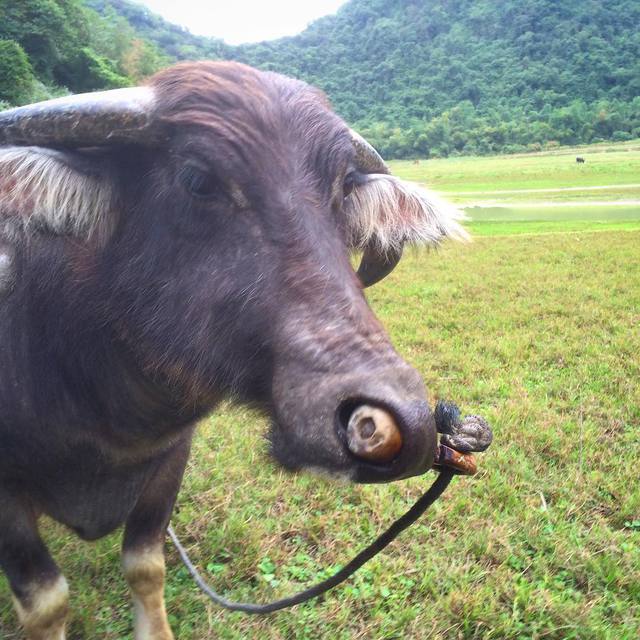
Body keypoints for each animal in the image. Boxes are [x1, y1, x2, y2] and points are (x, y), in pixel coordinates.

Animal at [0, 61, 464, 640]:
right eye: (197, 179)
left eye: (340, 190)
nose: (395, 416)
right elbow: (47, 602)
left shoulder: (169, 461)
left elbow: (145, 566)